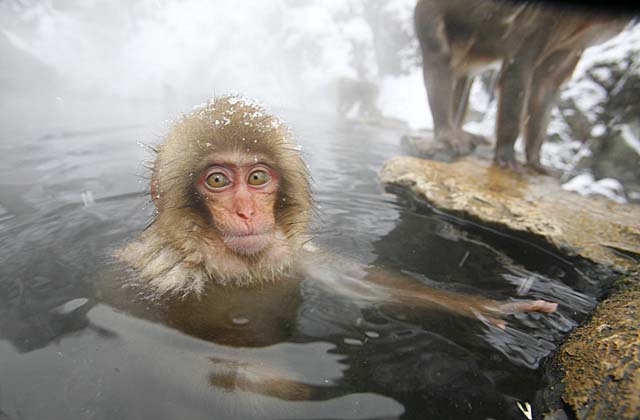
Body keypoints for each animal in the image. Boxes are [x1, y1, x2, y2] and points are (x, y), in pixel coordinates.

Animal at [412, 0, 628, 172]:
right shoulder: (538, 20)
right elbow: (518, 74)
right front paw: (507, 156)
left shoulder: (572, 44)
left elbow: (546, 84)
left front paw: (534, 160)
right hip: (433, 14)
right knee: (440, 57)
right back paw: (448, 134)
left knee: (464, 76)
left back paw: (463, 132)